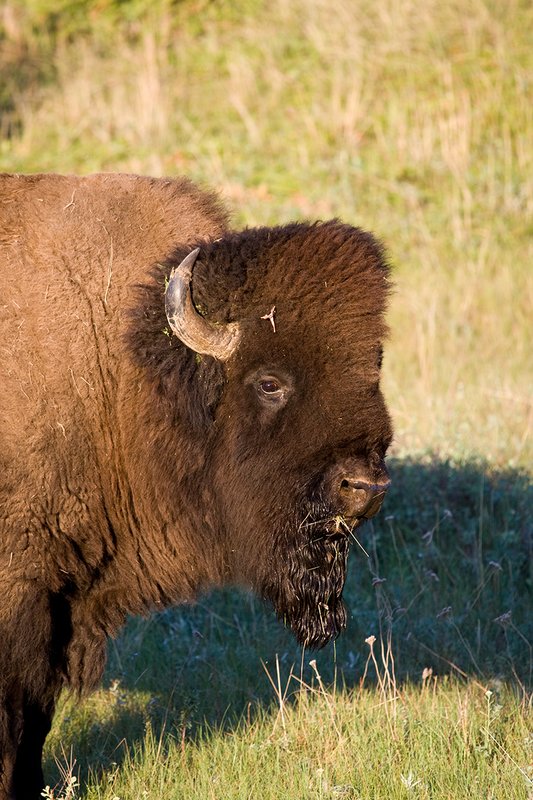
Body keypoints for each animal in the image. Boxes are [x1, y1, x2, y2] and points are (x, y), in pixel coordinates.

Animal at [0, 172, 392, 798]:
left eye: (373, 370)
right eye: (269, 382)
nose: (365, 486)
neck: (124, 366)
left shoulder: (60, 601)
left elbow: (34, 715)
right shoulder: (22, 593)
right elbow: (14, 716)